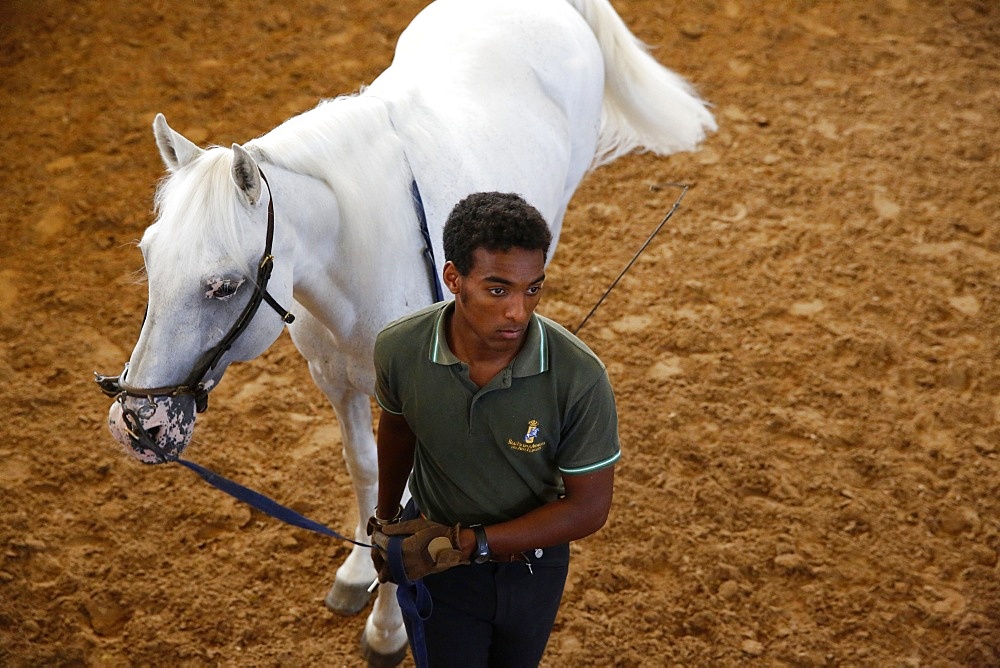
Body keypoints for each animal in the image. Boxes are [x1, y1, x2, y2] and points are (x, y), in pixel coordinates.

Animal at [99, 0, 712, 660]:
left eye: (224, 286)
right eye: (148, 256)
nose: (136, 425)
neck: (354, 264)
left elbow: (404, 513)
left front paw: (389, 629)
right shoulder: (338, 383)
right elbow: (368, 474)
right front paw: (355, 574)